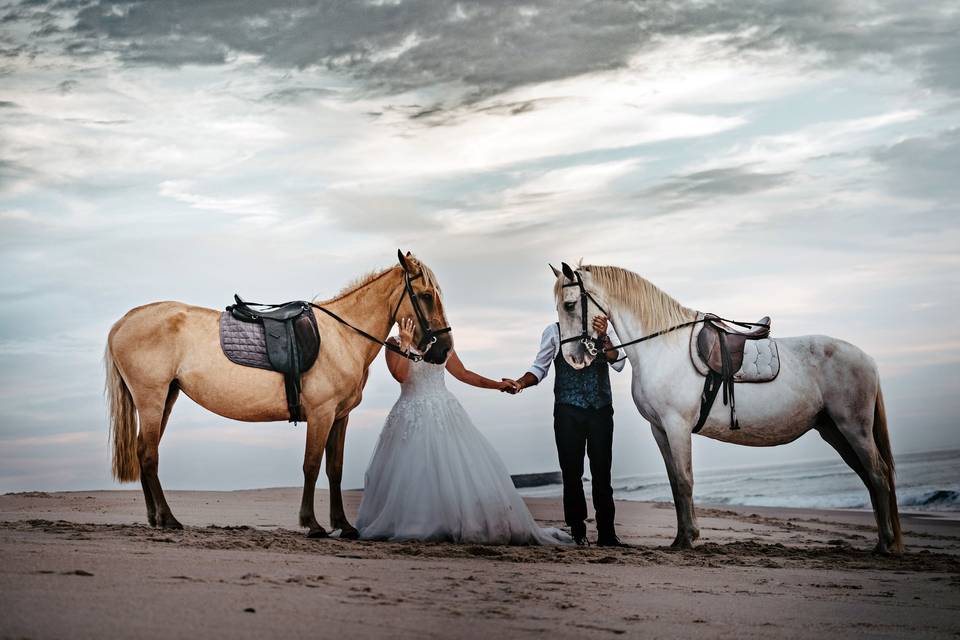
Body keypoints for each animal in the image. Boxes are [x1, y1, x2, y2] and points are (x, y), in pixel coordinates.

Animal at [106, 252, 454, 536]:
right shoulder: (321, 414)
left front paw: (343, 524)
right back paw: (168, 518)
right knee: (149, 455)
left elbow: (335, 469)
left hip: (166, 397)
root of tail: (123, 322)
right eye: (425, 295)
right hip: (151, 399)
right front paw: (312, 524)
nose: (444, 350)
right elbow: (311, 465)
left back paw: (155, 517)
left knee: (143, 450)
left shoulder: (339, 417)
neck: (343, 336)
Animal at [552, 262, 904, 552]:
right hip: (834, 430)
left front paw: (689, 539)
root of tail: (867, 359)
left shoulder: (677, 425)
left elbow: (684, 480)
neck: (662, 346)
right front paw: (679, 539)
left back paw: (885, 545)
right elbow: (674, 484)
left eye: (569, 305)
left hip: (853, 428)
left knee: (878, 475)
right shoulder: (659, 429)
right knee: (869, 477)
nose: (573, 358)